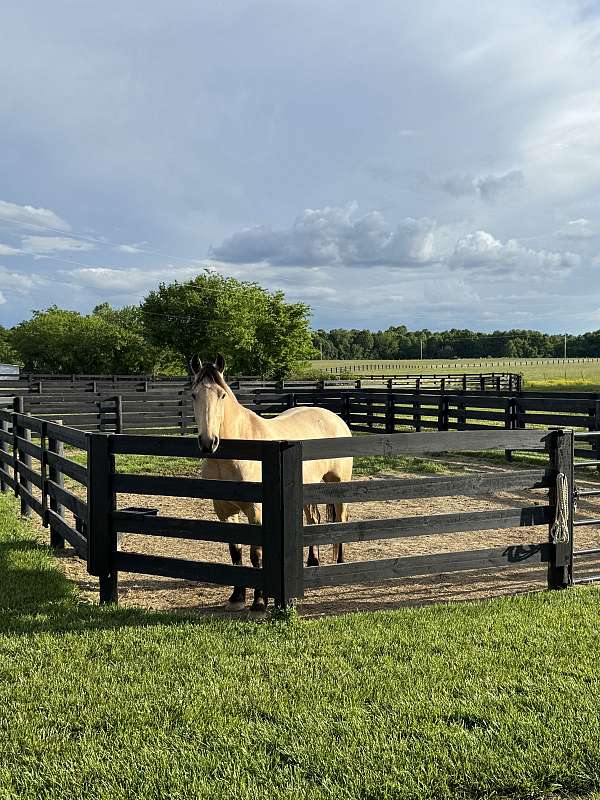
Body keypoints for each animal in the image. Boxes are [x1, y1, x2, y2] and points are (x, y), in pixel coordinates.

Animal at [189, 354, 353, 612]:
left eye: (222, 395)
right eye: (194, 395)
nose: (208, 442)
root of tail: (335, 418)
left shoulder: (256, 511)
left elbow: (256, 553)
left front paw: (258, 602)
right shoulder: (224, 511)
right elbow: (235, 552)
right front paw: (236, 598)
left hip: (339, 485)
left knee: (341, 519)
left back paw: (338, 562)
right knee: (314, 520)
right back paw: (312, 561)